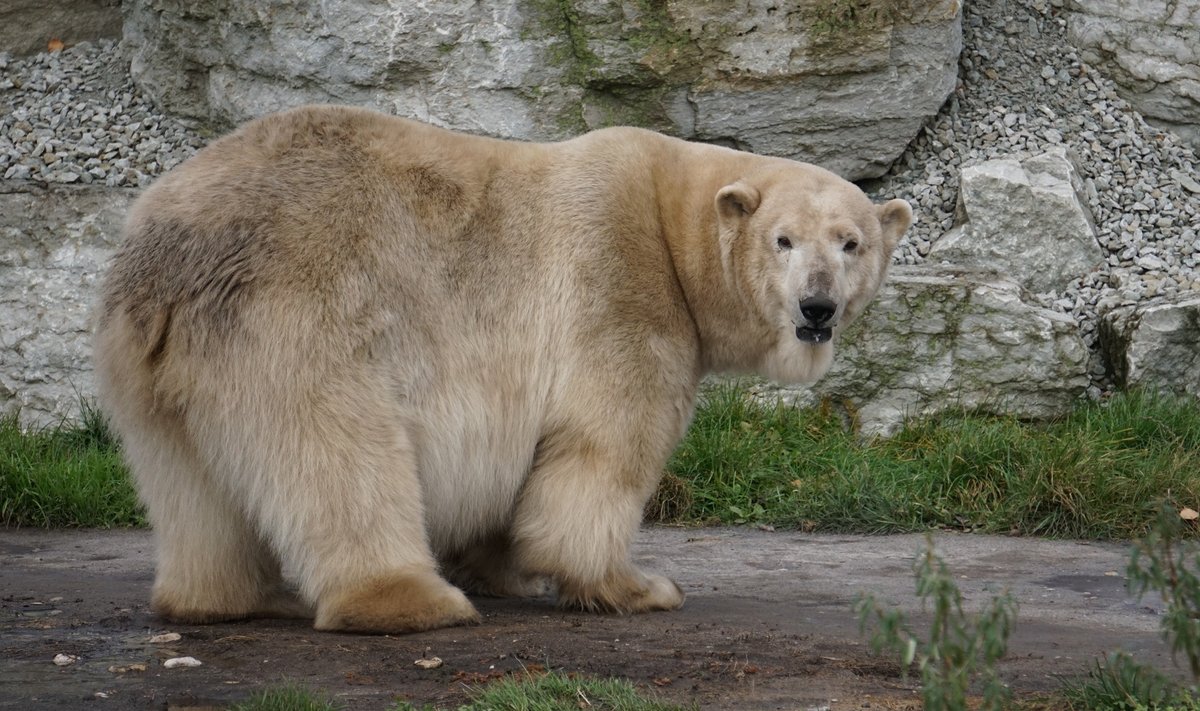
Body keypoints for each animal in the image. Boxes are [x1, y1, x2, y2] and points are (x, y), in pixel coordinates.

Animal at [93, 105, 912, 634]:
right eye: (783, 239)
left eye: (852, 242)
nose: (816, 307)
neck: (669, 217)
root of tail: (169, 258)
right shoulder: (621, 289)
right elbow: (603, 449)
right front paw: (636, 586)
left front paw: (500, 567)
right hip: (300, 315)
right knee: (337, 451)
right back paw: (409, 601)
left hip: (149, 359)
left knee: (186, 481)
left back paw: (230, 598)